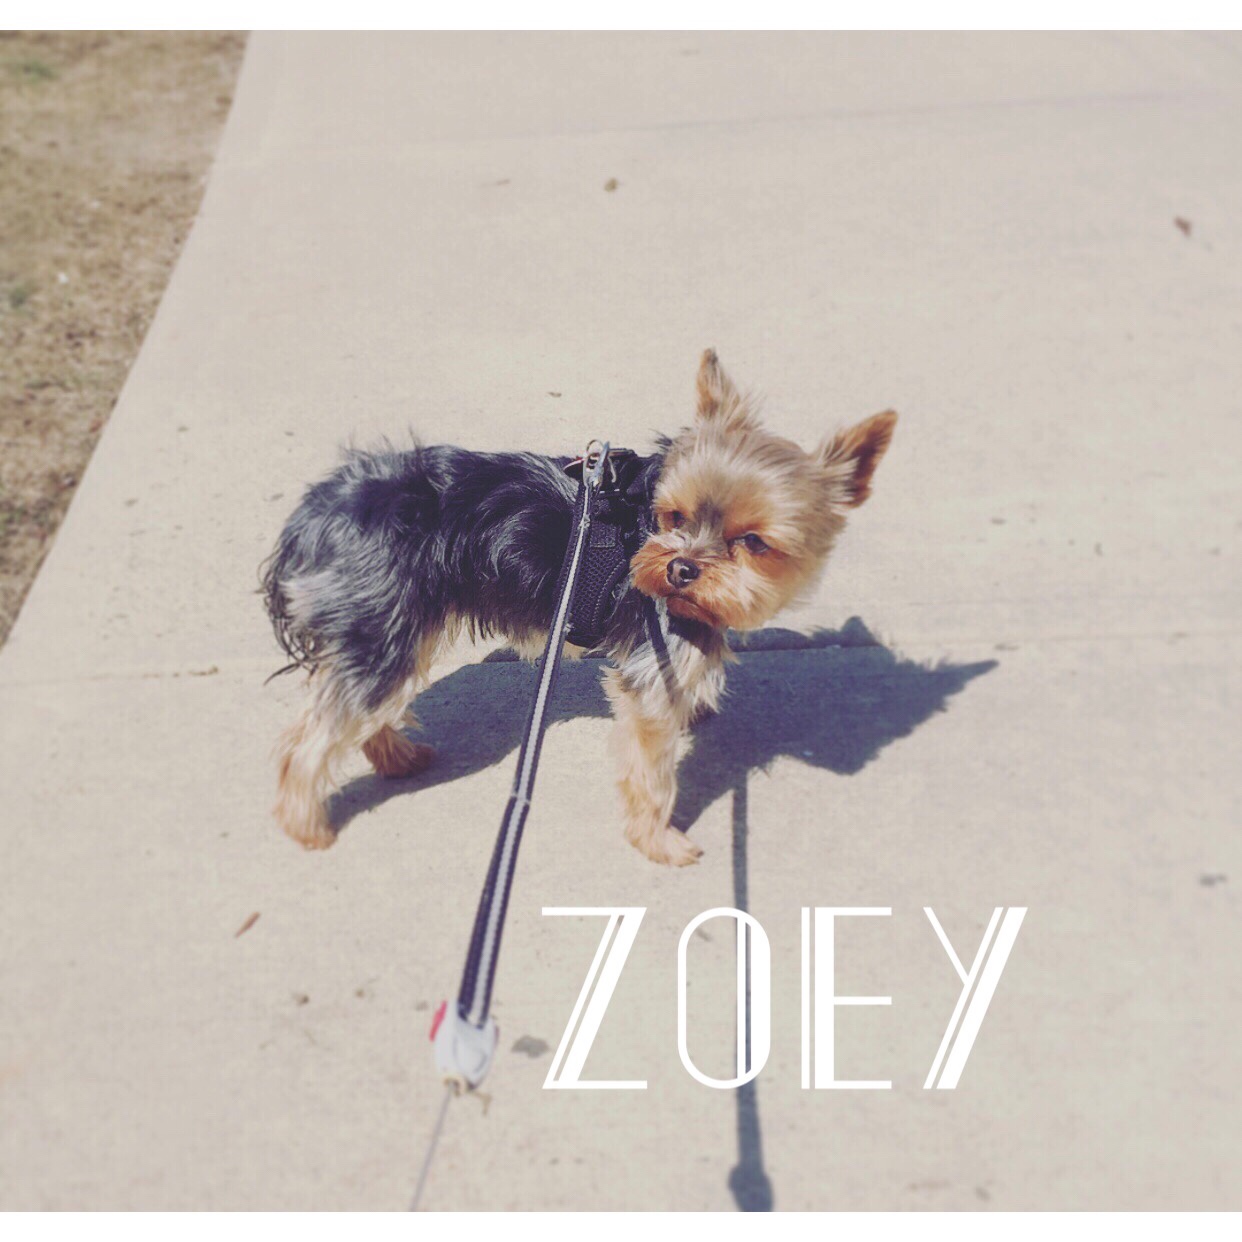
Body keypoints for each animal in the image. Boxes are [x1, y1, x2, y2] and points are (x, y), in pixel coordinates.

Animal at [261, 350, 895, 865]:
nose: (679, 570)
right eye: (674, 516)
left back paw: (396, 755)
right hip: (384, 625)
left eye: (755, 543)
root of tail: (316, 514)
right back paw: (306, 826)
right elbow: (652, 771)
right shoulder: (652, 670)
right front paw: (658, 842)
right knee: (311, 739)